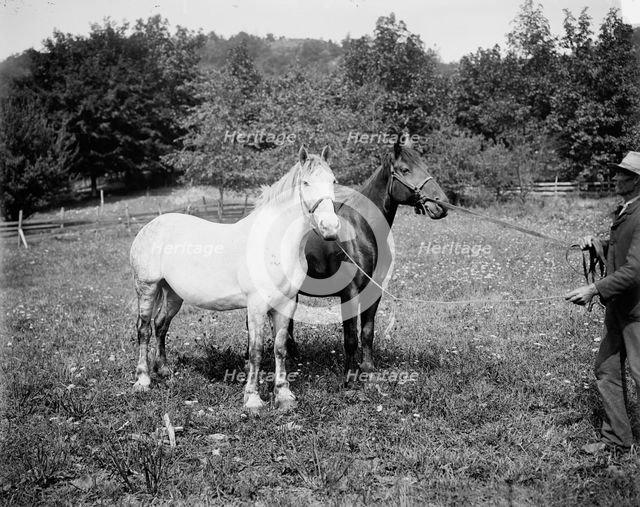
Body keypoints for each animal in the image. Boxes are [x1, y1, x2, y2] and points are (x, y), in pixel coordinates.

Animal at [129, 146, 340, 411]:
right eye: (306, 182)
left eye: (333, 181)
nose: (331, 227)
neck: (275, 243)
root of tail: (149, 225)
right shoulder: (257, 306)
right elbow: (256, 351)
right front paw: (253, 399)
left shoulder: (286, 304)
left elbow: (280, 348)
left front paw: (284, 396)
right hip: (147, 288)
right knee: (144, 329)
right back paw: (143, 380)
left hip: (173, 294)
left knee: (160, 326)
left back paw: (165, 371)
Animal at [288, 142, 448, 384]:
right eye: (405, 170)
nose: (442, 204)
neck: (361, 230)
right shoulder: (350, 292)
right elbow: (350, 336)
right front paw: (349, 376)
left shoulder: (374, 290)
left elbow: (367, 332)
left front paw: (368, 370)